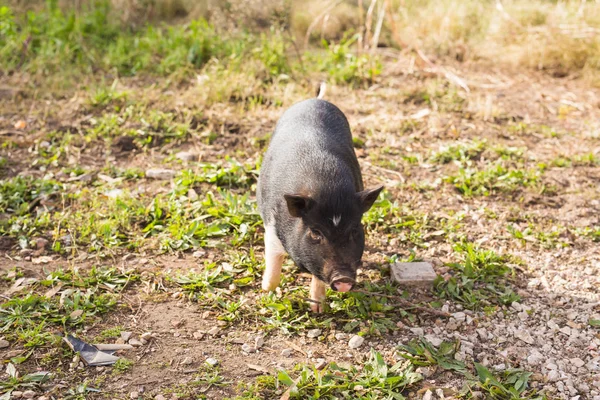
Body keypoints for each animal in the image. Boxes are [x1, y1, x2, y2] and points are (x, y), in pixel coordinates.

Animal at [256, 97, 380, 312]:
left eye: (354, 230)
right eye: (315, 232)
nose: (344, 278)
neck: (328, 186)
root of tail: (314, 99)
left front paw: (318, 309)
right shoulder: (271, 227)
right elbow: (273, 261)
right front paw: (266, 291)